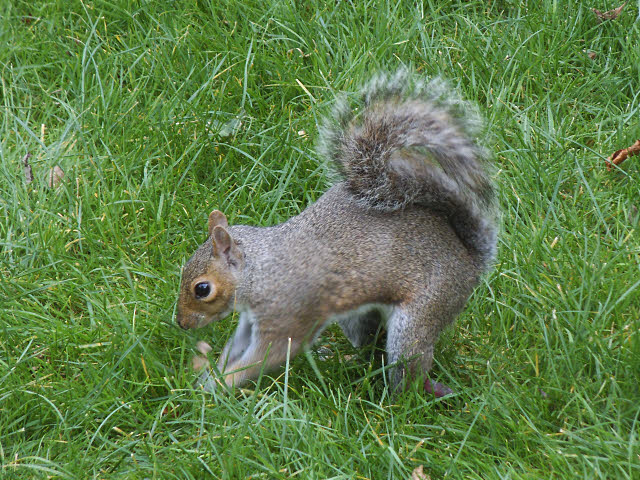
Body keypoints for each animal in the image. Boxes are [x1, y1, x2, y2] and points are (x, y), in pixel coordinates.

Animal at [176, 70, 500, 394]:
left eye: (202, 289)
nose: (181, 323)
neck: (260, 271)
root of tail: (468, 260)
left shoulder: (286, 316)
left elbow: (267, 356)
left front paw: (215, 388)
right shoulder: (248, 320)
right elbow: (234, 349)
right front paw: (207, 377)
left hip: (421, 315)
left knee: (410, 371)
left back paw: (416, 395)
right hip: (359, 316)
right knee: (368, 345)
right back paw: (344, 359)